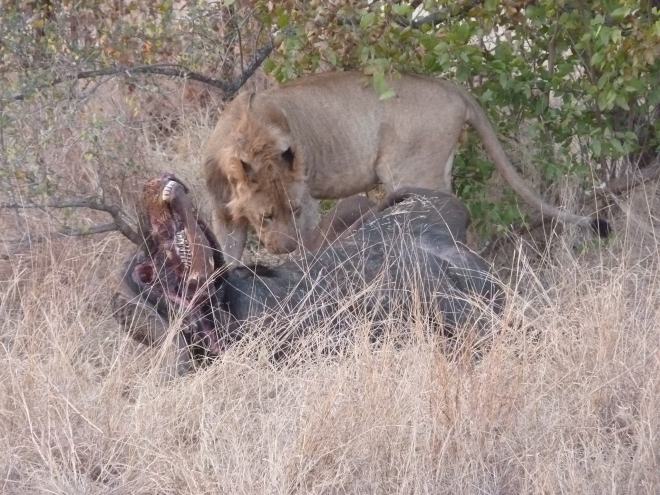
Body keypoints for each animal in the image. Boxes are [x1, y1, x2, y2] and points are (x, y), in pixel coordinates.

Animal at [204, 71, 609, 262]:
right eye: (266, 216)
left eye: (296, 210)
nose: (284, 248)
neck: (251, 134)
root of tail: (452, 88)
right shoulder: (223, 214)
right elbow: (225, 258)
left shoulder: (308, 199)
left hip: (411, 173)